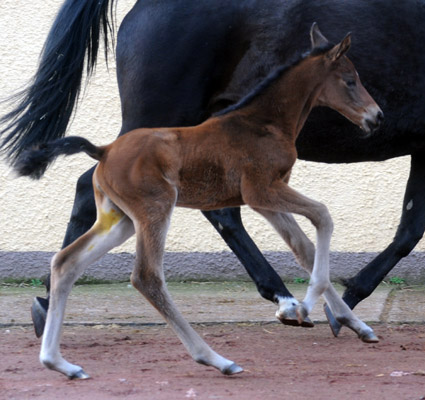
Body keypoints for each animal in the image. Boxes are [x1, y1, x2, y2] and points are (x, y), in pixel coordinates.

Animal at [15, 25, 380, 378]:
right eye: (350, 80)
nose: (376, 116)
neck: (264, 123)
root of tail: (103, 151)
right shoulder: (261, 190)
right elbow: (323, 215)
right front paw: (304, 306)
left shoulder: (265, 199)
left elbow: (303, 247)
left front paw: (352, 324)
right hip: (156, 209)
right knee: (146, 277)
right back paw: (216, 360)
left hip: (121, 219)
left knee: (66, 263)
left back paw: (60, 363)